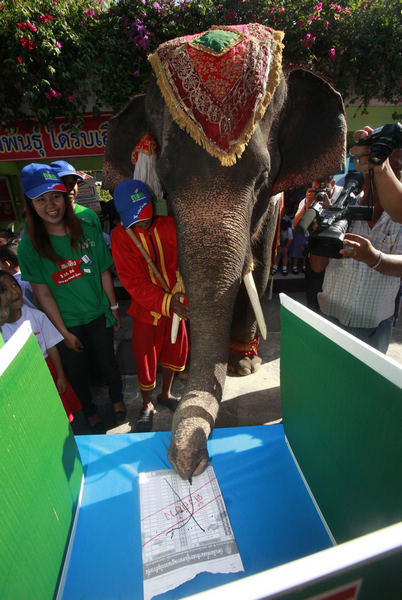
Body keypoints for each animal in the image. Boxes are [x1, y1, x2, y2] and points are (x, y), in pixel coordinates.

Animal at [101, 25, 346, 480]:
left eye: (263, 177)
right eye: (163, 182)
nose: (187, 463)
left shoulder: (272, 205)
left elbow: (259, 267)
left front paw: (242, 367)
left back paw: (243, 360)